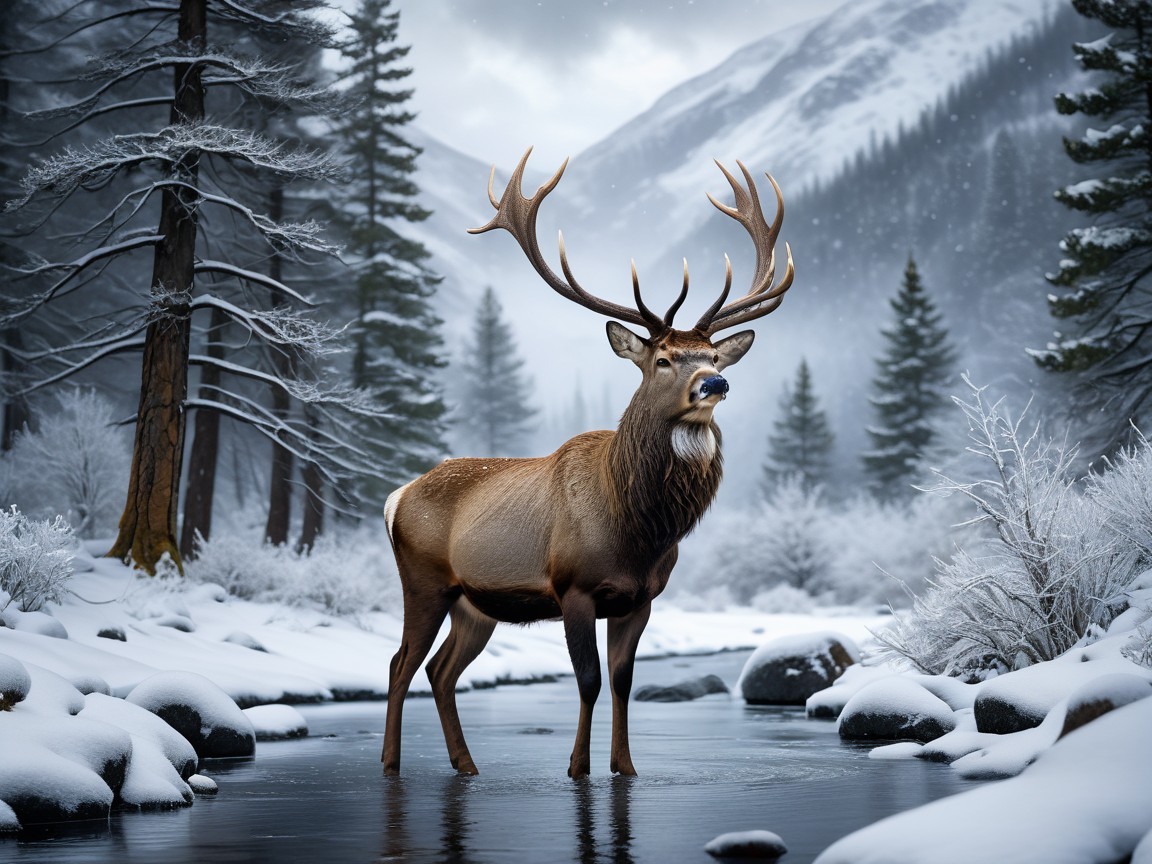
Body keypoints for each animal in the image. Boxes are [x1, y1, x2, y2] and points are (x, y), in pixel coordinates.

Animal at [381, 148, 794, 779]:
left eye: (714, 355)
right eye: (664, 359)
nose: (715, 383)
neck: (637, 527)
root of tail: (397, 496)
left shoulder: (641, 598)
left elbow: (623, 681)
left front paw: (625, 766)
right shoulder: (572, 587)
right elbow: (588, 680)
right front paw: (577, 767)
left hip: (475, 604)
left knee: (441, 670)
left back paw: (466, 765)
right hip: (423, 582)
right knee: (400, 663)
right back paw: (390, 764)